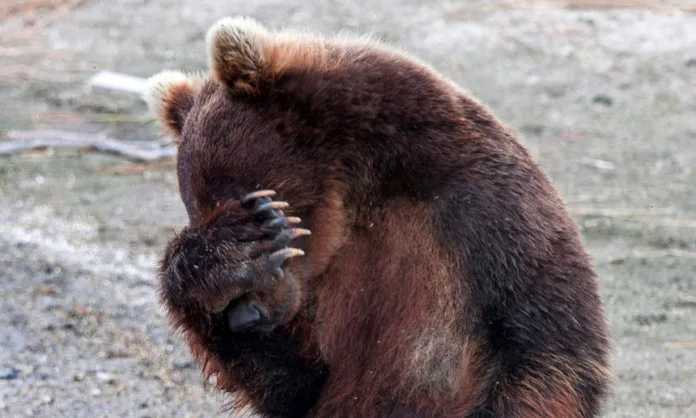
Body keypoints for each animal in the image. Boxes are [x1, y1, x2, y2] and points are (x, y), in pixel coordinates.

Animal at [145, 16, 613, 418]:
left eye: (252, 198)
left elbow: (544, 350)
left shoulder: (482, 220)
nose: (248, 314)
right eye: (197, 210)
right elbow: (296, 381)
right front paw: (227, 260)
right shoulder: (323, 293)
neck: (359, 194)